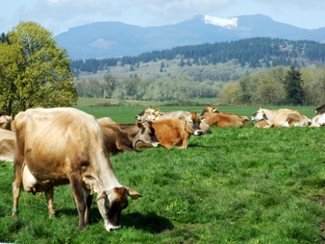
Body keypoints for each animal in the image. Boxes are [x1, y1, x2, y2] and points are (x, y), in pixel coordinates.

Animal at [11, 107, 140, 232]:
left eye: (124, 206)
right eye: (108, 206)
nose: (115, 228)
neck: (88, 137)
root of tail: (23, 113)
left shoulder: (89, 178)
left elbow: (88, 202)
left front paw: (88, 221)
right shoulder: (74, 174)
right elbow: (81, 203)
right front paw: (81, 226)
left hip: (47, 169)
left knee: (49, 191)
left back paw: (52, 214)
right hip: (19, 159)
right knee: (16, 187)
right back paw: (15, 215)